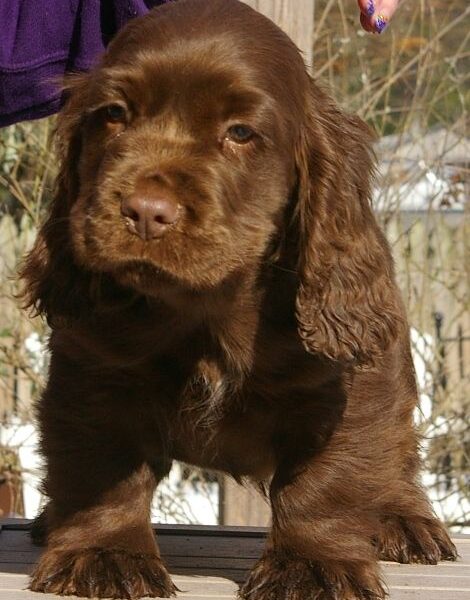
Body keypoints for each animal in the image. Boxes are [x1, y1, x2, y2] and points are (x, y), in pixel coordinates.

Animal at [21, 0, 456, 596]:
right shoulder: (93, 375)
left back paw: (404, 520)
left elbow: (329, 479)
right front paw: (104, 554)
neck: (207, 303)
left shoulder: (347, 390)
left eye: (241, 132)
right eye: (114, 114)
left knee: (396, 452)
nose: (146, 211)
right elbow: (101, 467)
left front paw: (313, 564)